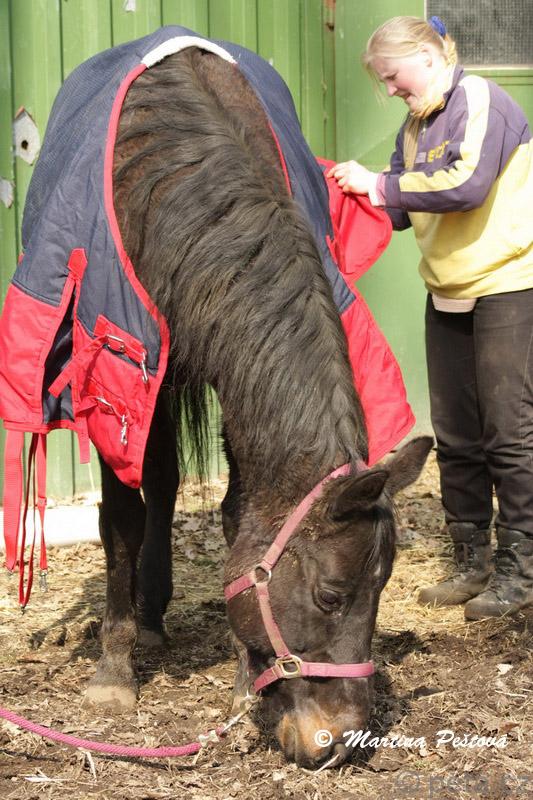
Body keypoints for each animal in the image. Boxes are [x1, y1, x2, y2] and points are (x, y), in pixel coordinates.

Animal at [83, 45, 432, 768]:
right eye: (331, 596)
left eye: (384, 590)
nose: (340, 742)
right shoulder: (123, 377)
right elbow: (122, 517)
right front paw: (112, 673)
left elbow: (235, 514)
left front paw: (247, 680)